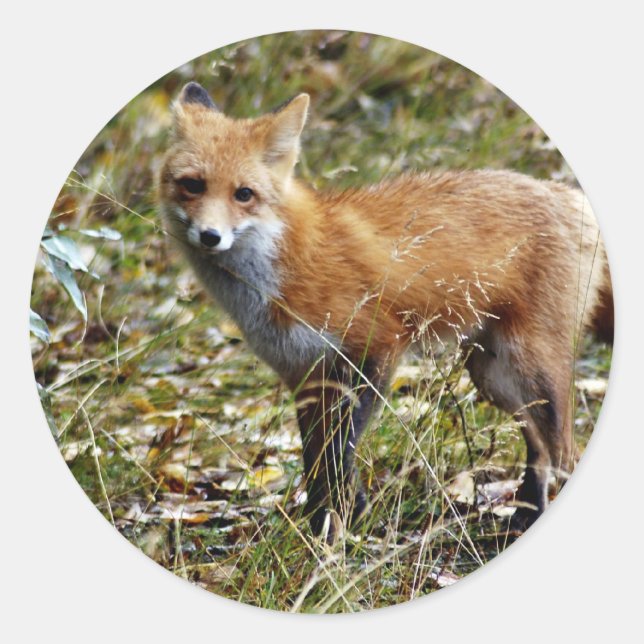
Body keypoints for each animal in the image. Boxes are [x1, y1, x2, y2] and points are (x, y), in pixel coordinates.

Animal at [158, 81, 613, 540]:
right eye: (193, 185)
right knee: (539, 448)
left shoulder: (374, 348)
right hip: (492, 375)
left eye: (243, 194)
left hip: (531, 367)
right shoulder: (304, 373)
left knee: (564, 452)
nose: (210, 236)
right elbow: (316, 458)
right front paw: (322, 523)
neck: (283, 265)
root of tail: (569, 194)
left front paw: (340, 520)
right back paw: (526, 514)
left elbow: (339, 450)